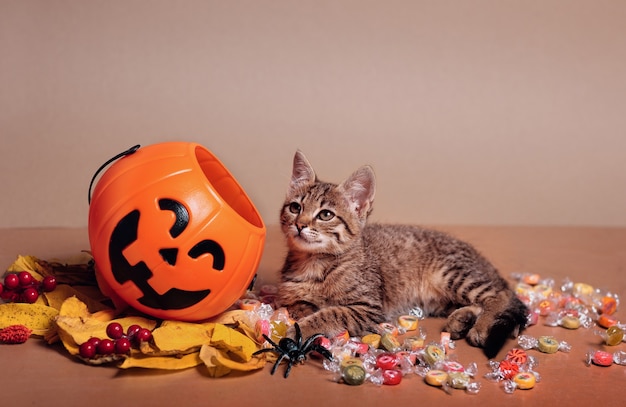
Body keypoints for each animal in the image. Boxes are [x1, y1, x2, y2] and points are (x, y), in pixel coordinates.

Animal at [276, 150, 524, 356]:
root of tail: (482, 259)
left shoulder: (368, 308)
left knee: (502, 295)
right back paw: (462, 320)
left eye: (325, 215)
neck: (313, 263)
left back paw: (481, 326)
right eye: (295, 208)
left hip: (451, 273)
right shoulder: (292, 299)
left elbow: (331, 313)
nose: (300, 224)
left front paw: (300, 330)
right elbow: (303, 306)